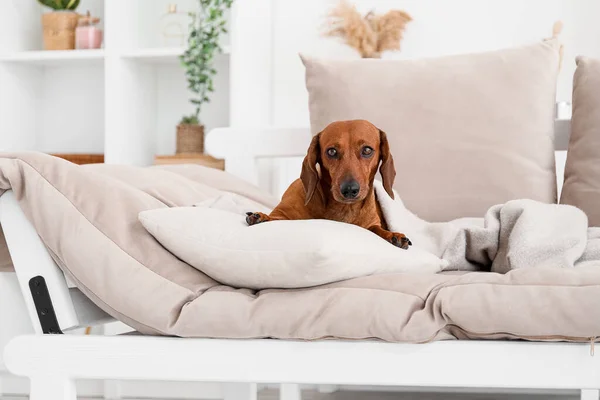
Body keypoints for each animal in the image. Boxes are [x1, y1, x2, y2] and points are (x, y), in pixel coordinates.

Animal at [246, 119, 410, 250]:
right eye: (331, 151)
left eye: (367, 150)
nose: (349, 190)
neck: (343, 209)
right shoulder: (283, 213)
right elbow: (276, 218)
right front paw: (262, 217)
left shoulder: (371, 224)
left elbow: (376, 229)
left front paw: (392, 235)